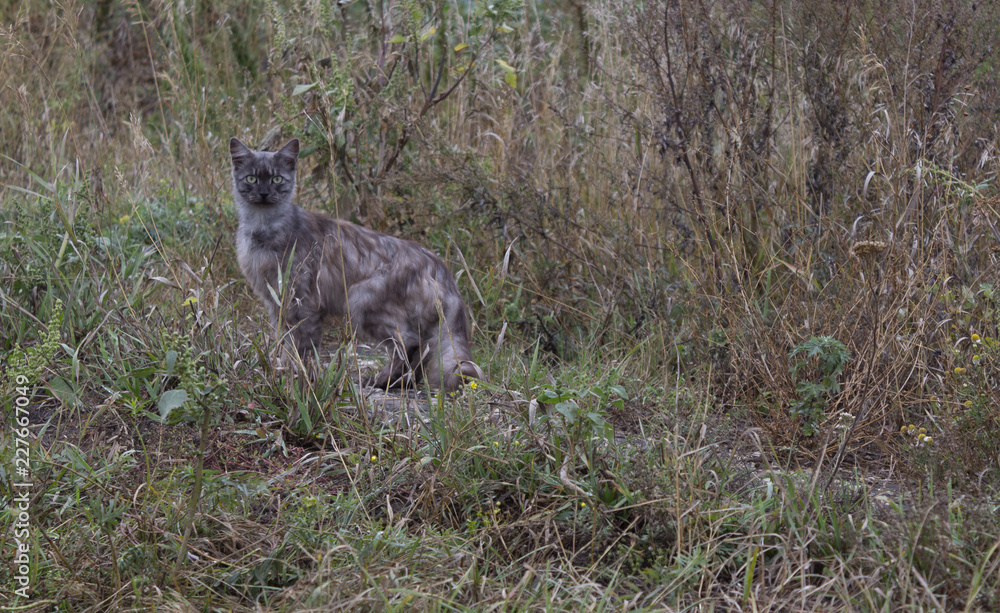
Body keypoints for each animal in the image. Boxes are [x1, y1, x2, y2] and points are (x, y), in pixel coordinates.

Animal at [234, 137, 484, 390]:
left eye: (277, 179)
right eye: (251, 178)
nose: (264, 193)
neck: (263, 229)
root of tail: (436, 263)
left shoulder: (304, 304)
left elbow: (304, 349)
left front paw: (300, 382)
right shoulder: (276, 303)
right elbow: (287, 345)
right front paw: (286, 376)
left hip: (361, 299)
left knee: (409, 343)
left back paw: (383, 381)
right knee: (421, 350)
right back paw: (399, 382)